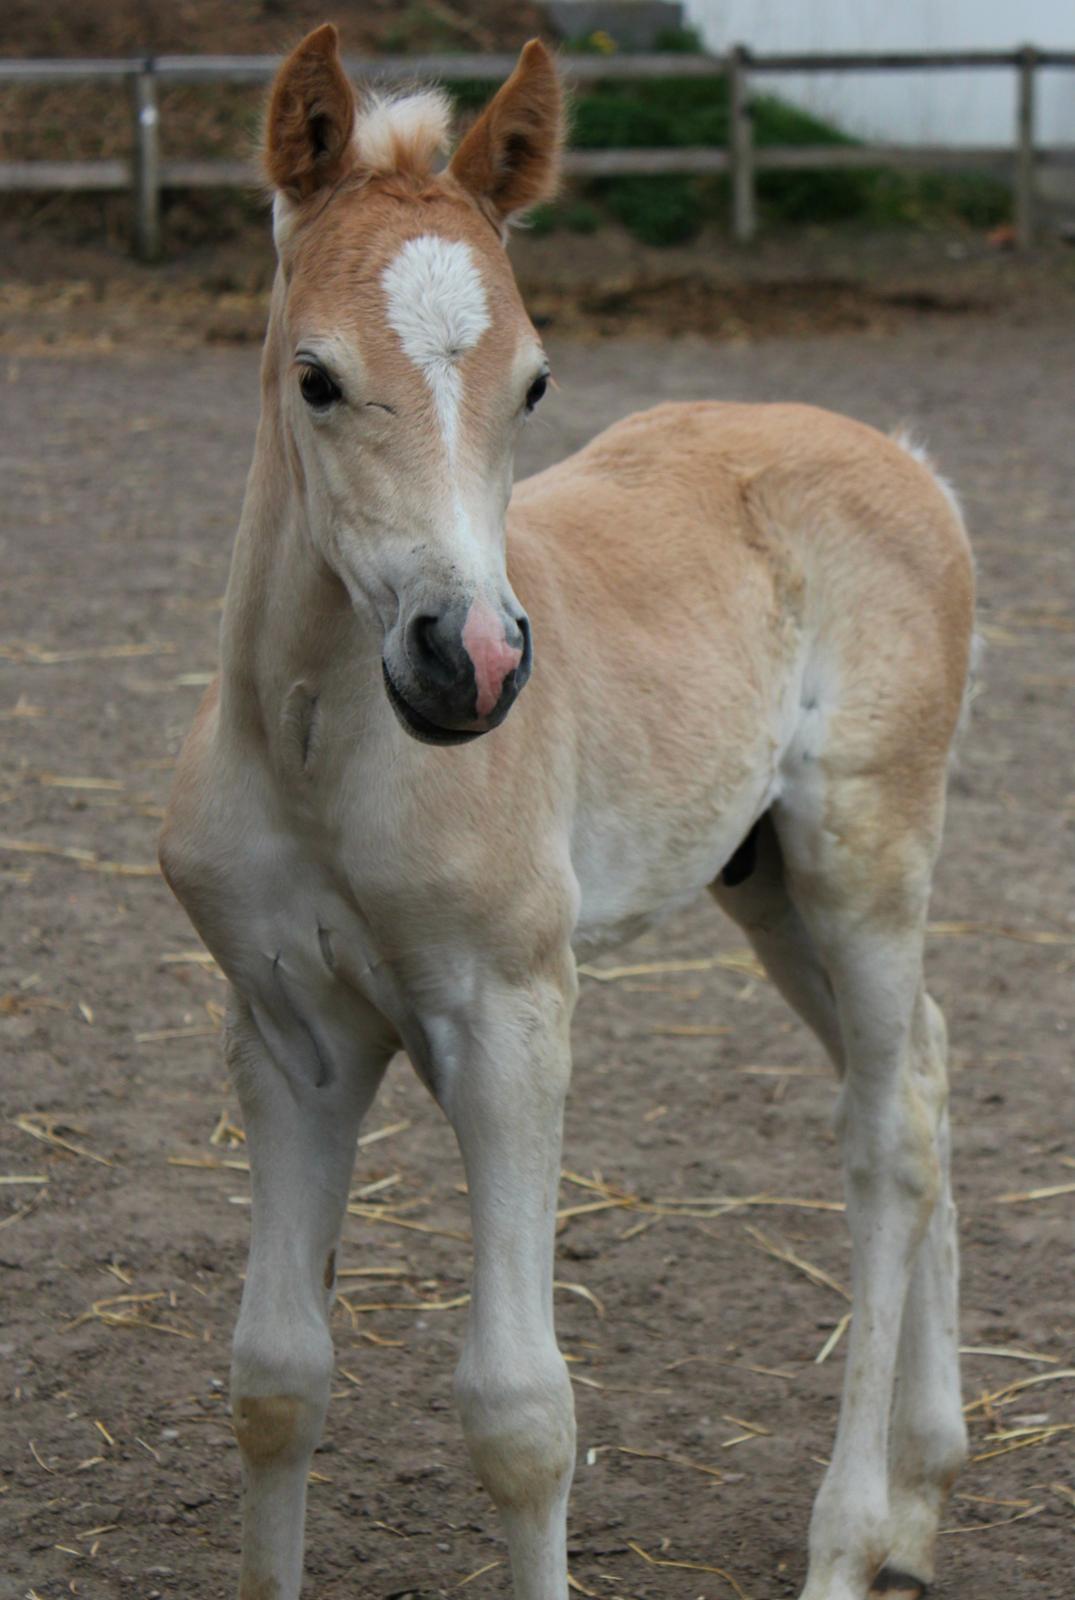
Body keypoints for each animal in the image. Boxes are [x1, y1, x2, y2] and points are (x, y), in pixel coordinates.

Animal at [159, 25, 972, 1600]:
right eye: (314, 376)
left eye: (534, 382)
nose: (468, 661)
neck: (319, 756)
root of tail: (909, 461)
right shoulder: (288, 1032)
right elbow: (272, 1375)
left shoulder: (509, 1014)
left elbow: (520, 1412)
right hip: (762, 879)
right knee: (924, 1062)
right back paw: (920, 1490)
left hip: (861, 854)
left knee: (887, 1133)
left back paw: (851, 1533)